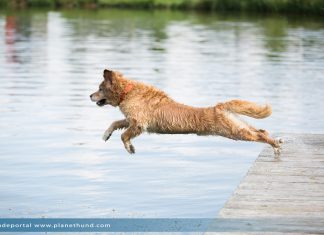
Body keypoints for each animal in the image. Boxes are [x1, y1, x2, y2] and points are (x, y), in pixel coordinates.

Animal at [90, 69, 282, 155]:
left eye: (100, 88)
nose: (90, 95)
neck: (127, 92)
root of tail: (220, 107)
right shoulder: (130, 121)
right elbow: (115, 123)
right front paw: (106, 134)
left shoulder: (139, 123)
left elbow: (124, 136)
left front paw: (130, 148)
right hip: (237, 125)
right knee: (261, 130)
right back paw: (276, 140)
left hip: (234, 131)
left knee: (259, 135)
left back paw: (275, 144)